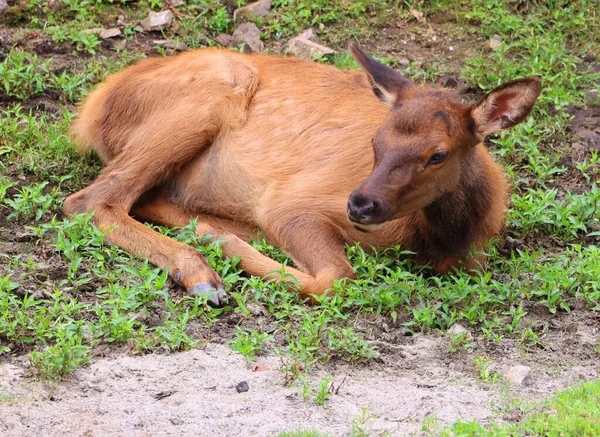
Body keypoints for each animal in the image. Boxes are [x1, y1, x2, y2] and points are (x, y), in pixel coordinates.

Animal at [63, 43, 540, 304]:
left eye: (438, 154)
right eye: (376, 139)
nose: (360, 204)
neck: (442, 238)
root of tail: (91, 110)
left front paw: (216, 236)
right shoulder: (294, 204)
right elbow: (335, 278)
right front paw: (222, 245)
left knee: (140, 197)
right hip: (214, 92)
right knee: (88, 200)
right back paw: (202, 271)